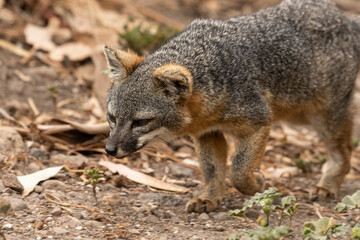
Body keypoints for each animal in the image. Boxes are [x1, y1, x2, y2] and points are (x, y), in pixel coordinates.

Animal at [102, 0, 360, 213]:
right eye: (112, 118)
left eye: (141, 122)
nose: (109, 150)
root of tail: (345, 19)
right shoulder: (207, 134)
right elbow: (212, 171)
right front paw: (210, 198)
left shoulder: (259, 122)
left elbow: (238, 171)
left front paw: (259, 187)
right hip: (299, 115)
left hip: (322, 118)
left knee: (344, 151)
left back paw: (328, 185)